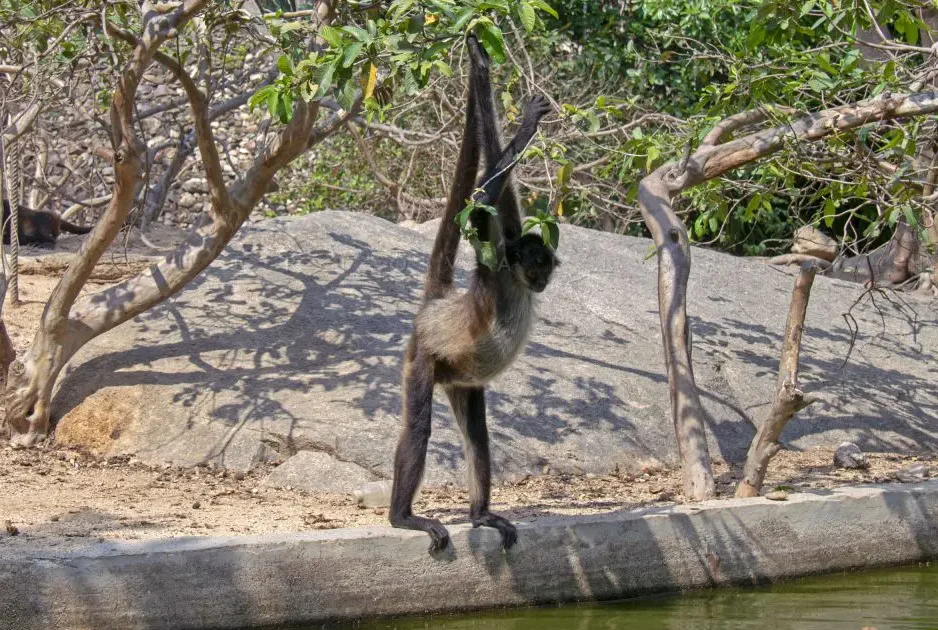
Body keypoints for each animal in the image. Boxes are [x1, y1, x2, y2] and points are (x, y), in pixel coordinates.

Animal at [389, 35, 558, 553]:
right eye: (534, 265)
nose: (542, 279)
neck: (516, 283)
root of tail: (436, 306)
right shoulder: (494, 266)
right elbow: (482, 200)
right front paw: (519, 119)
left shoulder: (507, 247)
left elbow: (502, 201)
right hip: (425, 357)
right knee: (418, 427)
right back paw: (401, 518)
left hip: (460, 378)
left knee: (478, 435)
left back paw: (480, 515)